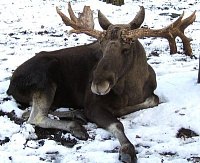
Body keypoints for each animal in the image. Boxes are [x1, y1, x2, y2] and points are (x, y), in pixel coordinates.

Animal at [6, 2, 195, 163]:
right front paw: (127, 150)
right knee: (35, 116)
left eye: (126, 49)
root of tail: (10, 86)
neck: (134, 89)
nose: (97, 84)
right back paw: (76, 125)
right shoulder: (92, 104)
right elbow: (117, 124)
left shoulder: (150, 94)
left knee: (31, 112)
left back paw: (77, 114)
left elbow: (153, 99)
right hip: (45, 76)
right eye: (101, 47)